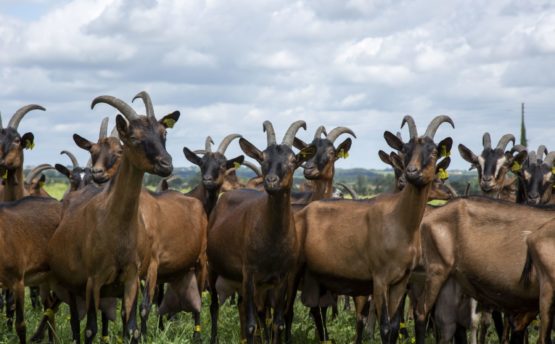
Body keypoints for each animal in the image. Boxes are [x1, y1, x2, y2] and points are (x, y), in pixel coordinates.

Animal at [207, 119, 318, 342]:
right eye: (262, 158)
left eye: (293, 160)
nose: (271, 181)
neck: (273, 239)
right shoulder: (250, 274)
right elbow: (252, 325)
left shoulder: (281, 278)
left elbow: (277, 323)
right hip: (213, 267)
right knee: (214, 306)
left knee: (242, 306)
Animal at [298, 114, 454, 342]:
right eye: (406, 150)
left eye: (434, 151)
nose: (411, 173)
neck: (400, 222)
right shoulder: (380, 279)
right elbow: (386, 326)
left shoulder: (400, 281)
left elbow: (395, 324)